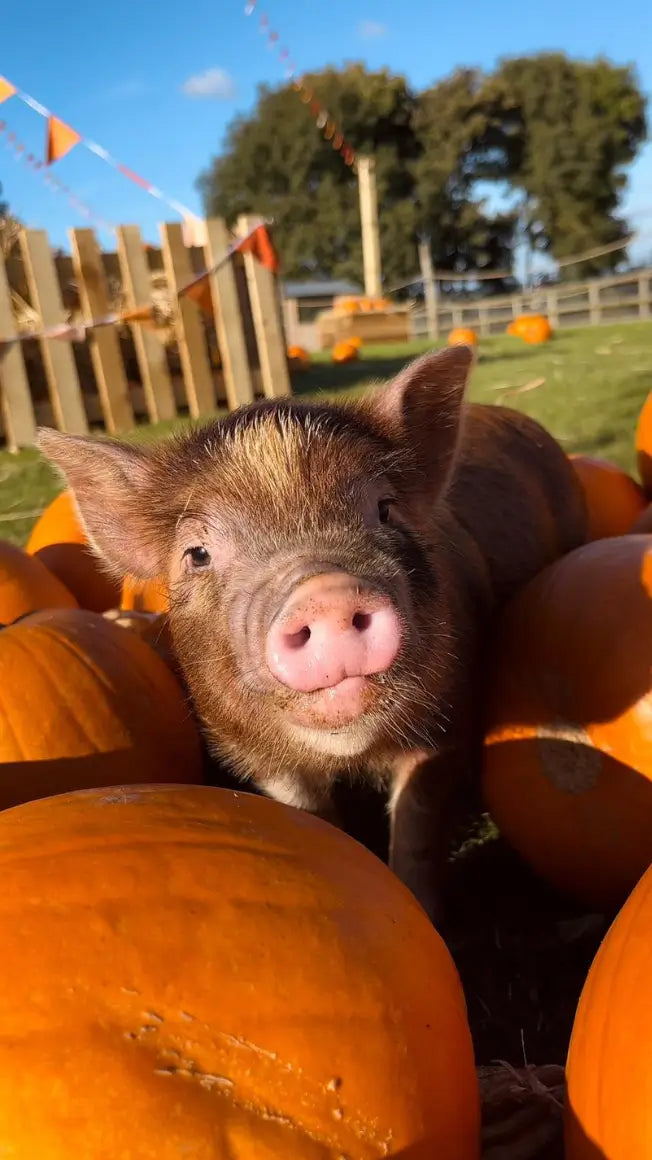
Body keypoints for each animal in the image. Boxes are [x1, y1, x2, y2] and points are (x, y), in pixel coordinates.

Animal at [38, 346, 587, 926]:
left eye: (385, 509)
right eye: (197, 553)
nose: (326, 592)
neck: (347, 756)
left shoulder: (450, 717)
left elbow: (416, 829)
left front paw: (422, 912)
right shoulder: (253, 753)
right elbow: (309, 817)